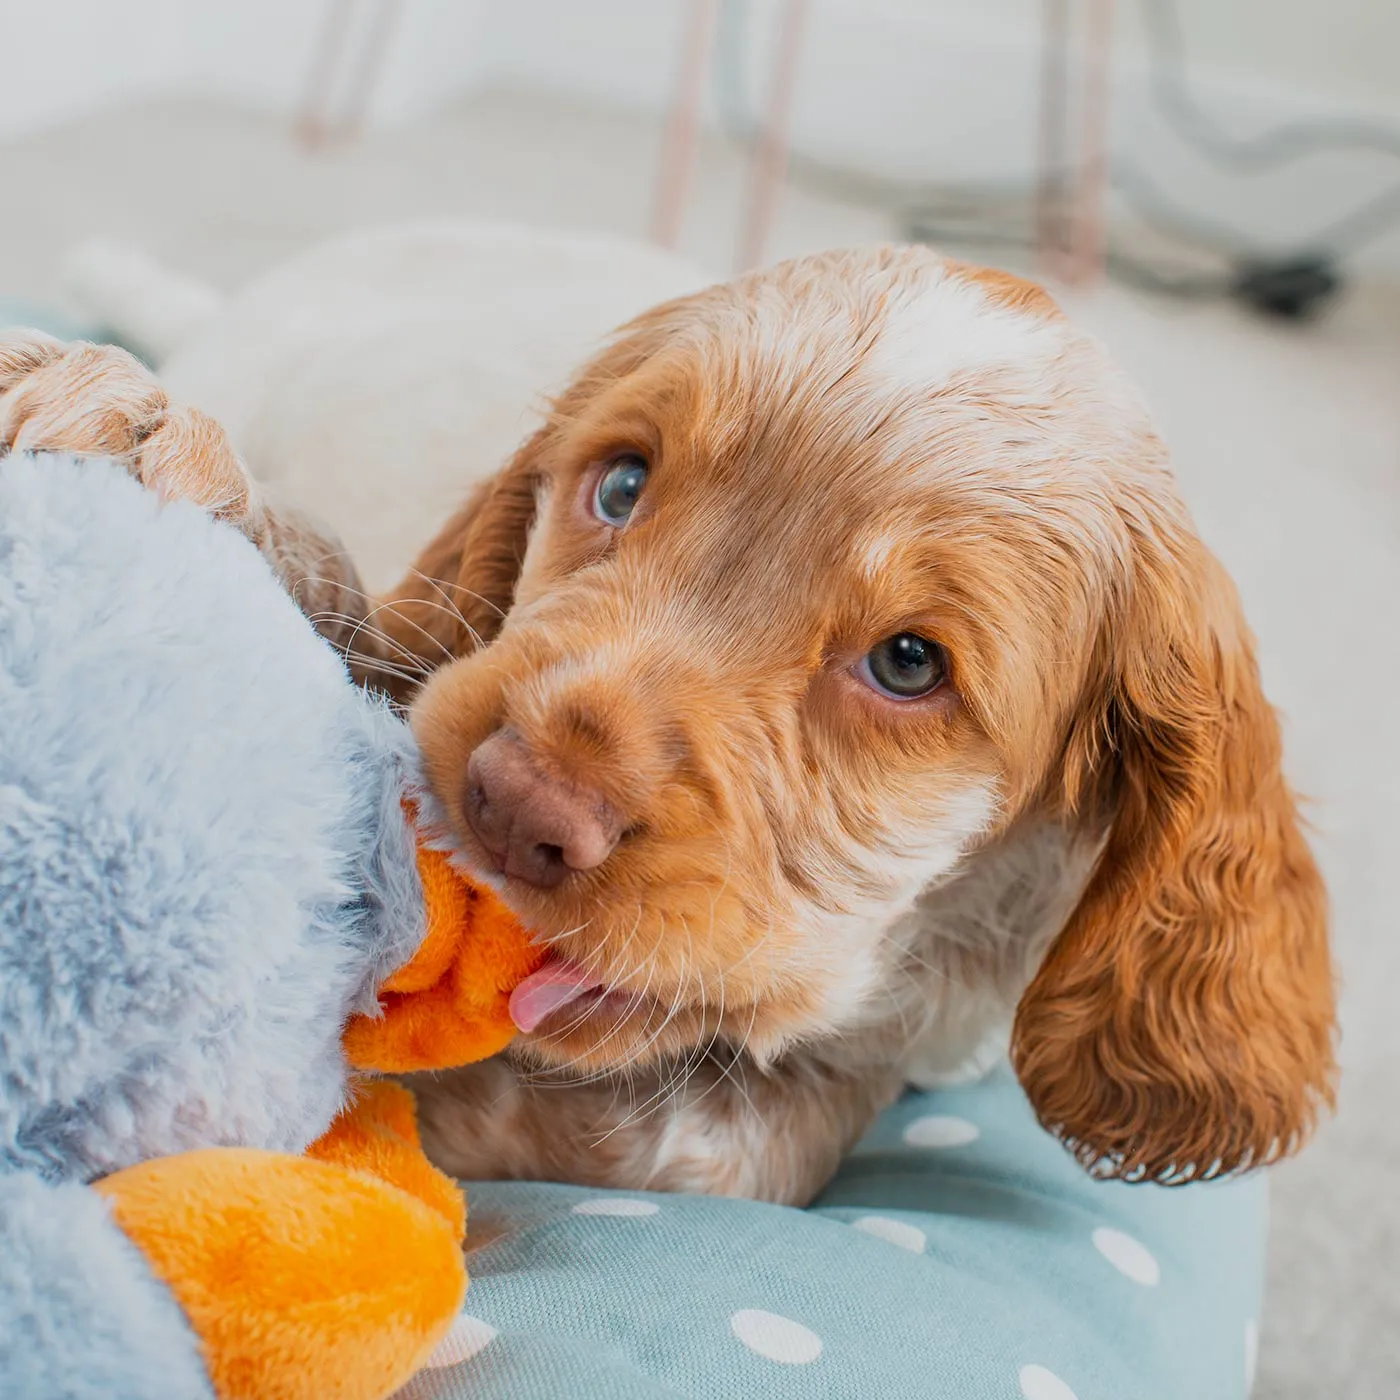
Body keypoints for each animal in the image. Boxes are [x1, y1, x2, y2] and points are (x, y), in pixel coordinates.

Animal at [0, 243, 1332, 1204]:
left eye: (908, 663)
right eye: (622, 483)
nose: (511, 801)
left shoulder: (789, 1110)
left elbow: (663, 1135)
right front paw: (138, 427)